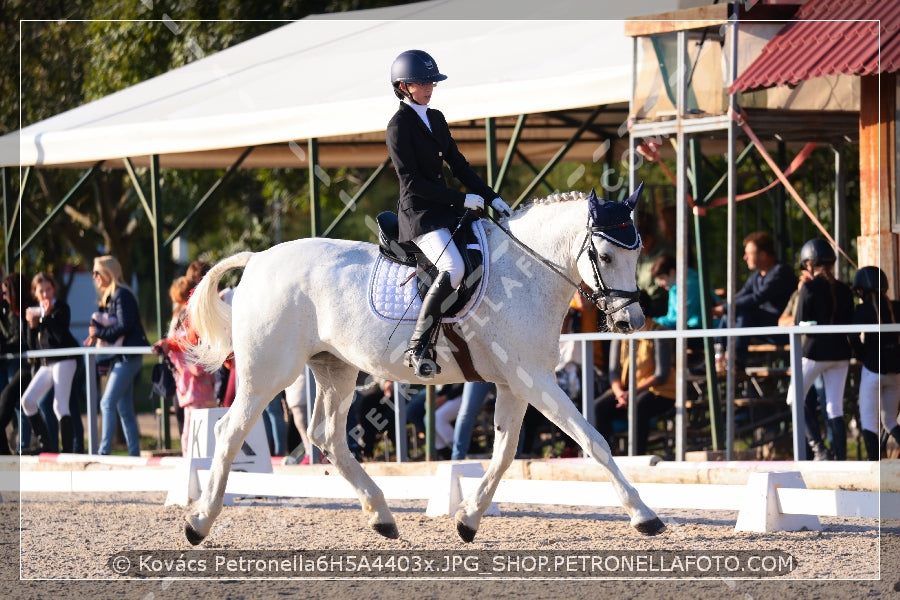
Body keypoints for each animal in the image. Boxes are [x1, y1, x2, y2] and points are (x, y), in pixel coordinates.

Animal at [183, 188, 664, 544]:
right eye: (604, 256)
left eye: (638, 250)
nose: (631, 321)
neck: (527, 272)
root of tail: (259, 258)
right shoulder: (536, 381)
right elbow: (594, 441)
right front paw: (644, 515)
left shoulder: (515, 383)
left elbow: (504, 453)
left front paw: (468, 519)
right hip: (268, 372)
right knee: (229, 432)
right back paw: (199, 523)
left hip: (335, 368)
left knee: (328, 435)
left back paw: (381, 516)